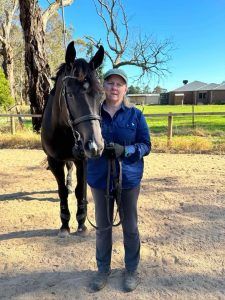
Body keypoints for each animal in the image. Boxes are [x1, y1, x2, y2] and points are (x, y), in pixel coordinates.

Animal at [41, 41, 104, 237]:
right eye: (69, 94)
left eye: (101, 95)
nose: (95, 146)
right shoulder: (54, 161)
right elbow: (62, 192)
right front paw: (64, 224)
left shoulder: (82, 160)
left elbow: (80, 191)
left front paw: (81, 222)